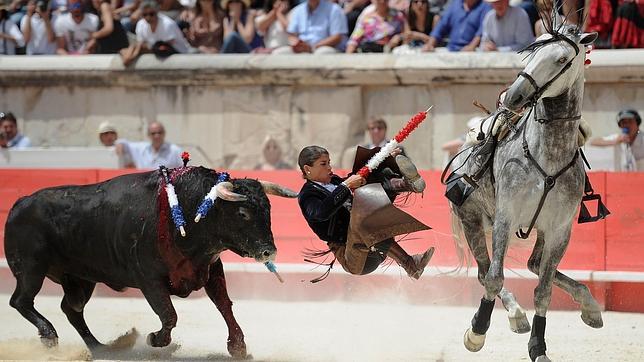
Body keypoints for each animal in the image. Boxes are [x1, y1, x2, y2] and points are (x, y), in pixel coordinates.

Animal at [3, 166, 296, 356]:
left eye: (268, 210)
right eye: (243, 213)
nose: (269, 251)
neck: (187, 211)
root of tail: (20, 202)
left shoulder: (210, 268)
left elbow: (224, 305)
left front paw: (237, 346)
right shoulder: (149, 279)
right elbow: (168, 313)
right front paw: (156, 339)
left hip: (80, 278)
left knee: (72, 309)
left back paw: (102, 348)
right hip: (31, 268)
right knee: (20, 301)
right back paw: (50, 336)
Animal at [450, 24, 600, 360]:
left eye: (561, 59)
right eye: (532, 52)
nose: (514, 95)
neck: (548, 153)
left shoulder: (560, 229)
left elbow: (544, 290)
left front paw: (538, 346)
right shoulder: (505, 217)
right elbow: (494, 276)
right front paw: (477, 332)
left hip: (538, 229)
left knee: (533, 265)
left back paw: (590, 307)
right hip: (471, 219)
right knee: (485, 271)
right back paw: (515, 315)